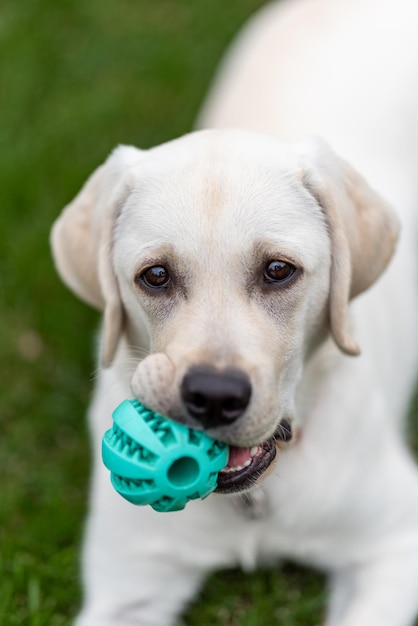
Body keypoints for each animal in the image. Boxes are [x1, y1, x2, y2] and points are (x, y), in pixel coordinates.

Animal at [49, 1, 418, 624]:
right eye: (155, 276)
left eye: (278, 270)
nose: (215, 397)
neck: (256, 501)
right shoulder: (129, 585)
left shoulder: (396, 544)